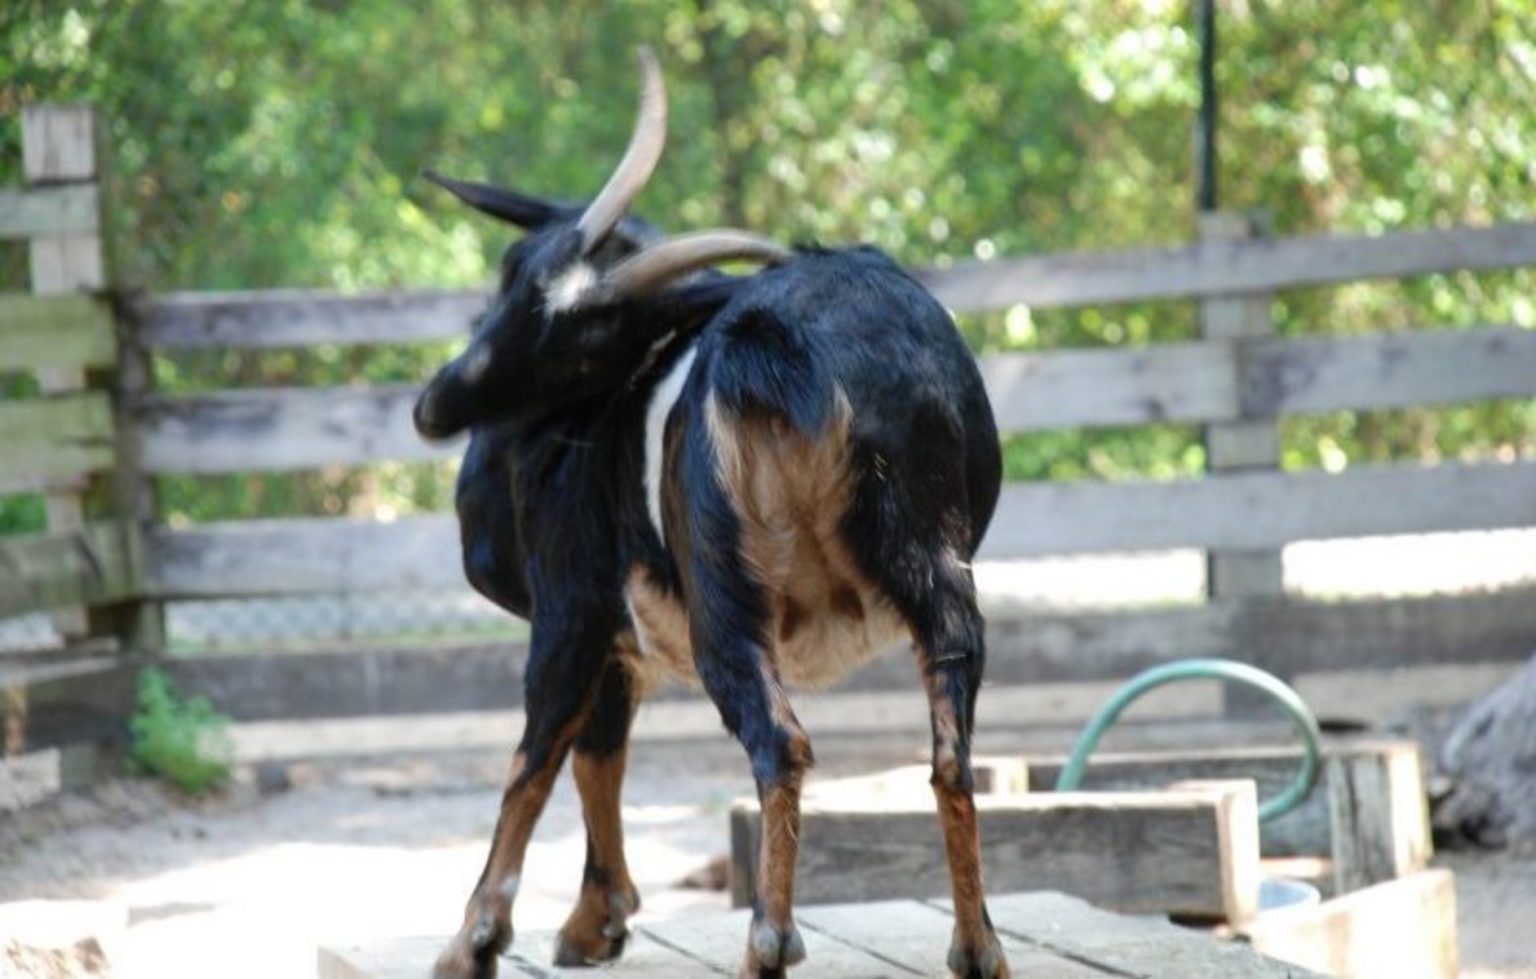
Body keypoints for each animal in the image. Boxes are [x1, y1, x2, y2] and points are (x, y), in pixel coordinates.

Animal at [415, 48, 1008, 979]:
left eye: (588, 339)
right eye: (514, 272)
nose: (435, 404)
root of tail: (791, 350)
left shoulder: (572, 608)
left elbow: (537, 757)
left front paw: (475, 939)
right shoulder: (618, 640)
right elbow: (600, 754)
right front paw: (595, 921)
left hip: (726, 595)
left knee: (780, 739)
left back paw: (768, 942)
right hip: (936, 575)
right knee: (951, 752)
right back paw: (977, 946)